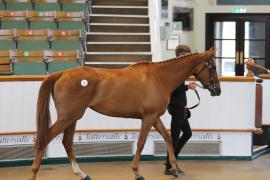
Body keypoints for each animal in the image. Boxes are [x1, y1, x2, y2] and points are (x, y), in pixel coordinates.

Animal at [30, 49, 219, 180]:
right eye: (213, 66)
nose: (217, 90)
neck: (159, 77)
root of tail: (62, 73)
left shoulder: (154, 117)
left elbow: (168, 137)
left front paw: (173, 168)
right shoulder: (149, 117)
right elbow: (141, 142)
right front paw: (137, 172)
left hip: (73, 118)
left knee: (67, 142)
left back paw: (82, 174)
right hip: (67, 117)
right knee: (45, 138)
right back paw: (34, 172)